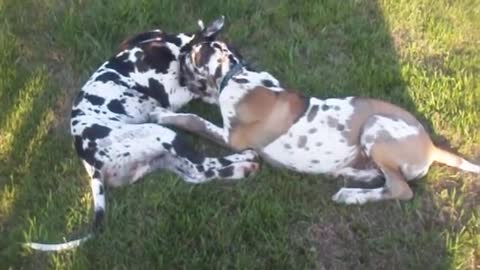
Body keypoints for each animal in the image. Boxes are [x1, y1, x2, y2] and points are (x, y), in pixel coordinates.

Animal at [24, 17, 260, 252]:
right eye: (231, 55)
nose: (247, 68)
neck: (174, 48)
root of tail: (91, 165)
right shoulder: (172, 94)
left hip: (161, 157)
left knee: (196, 173)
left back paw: (241, 167)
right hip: (163, 135)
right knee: (202, 166)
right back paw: (245, 160)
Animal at [150, 40, 480, 205]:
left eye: (187, 57)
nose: (178, 59)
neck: (237, 74)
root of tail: (431, 146)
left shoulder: (234, 138)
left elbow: (193, 119)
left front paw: (160, 114)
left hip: (376, 125)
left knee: (400, 189)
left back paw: (352, 196)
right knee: (384, 177)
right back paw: (350, 174)